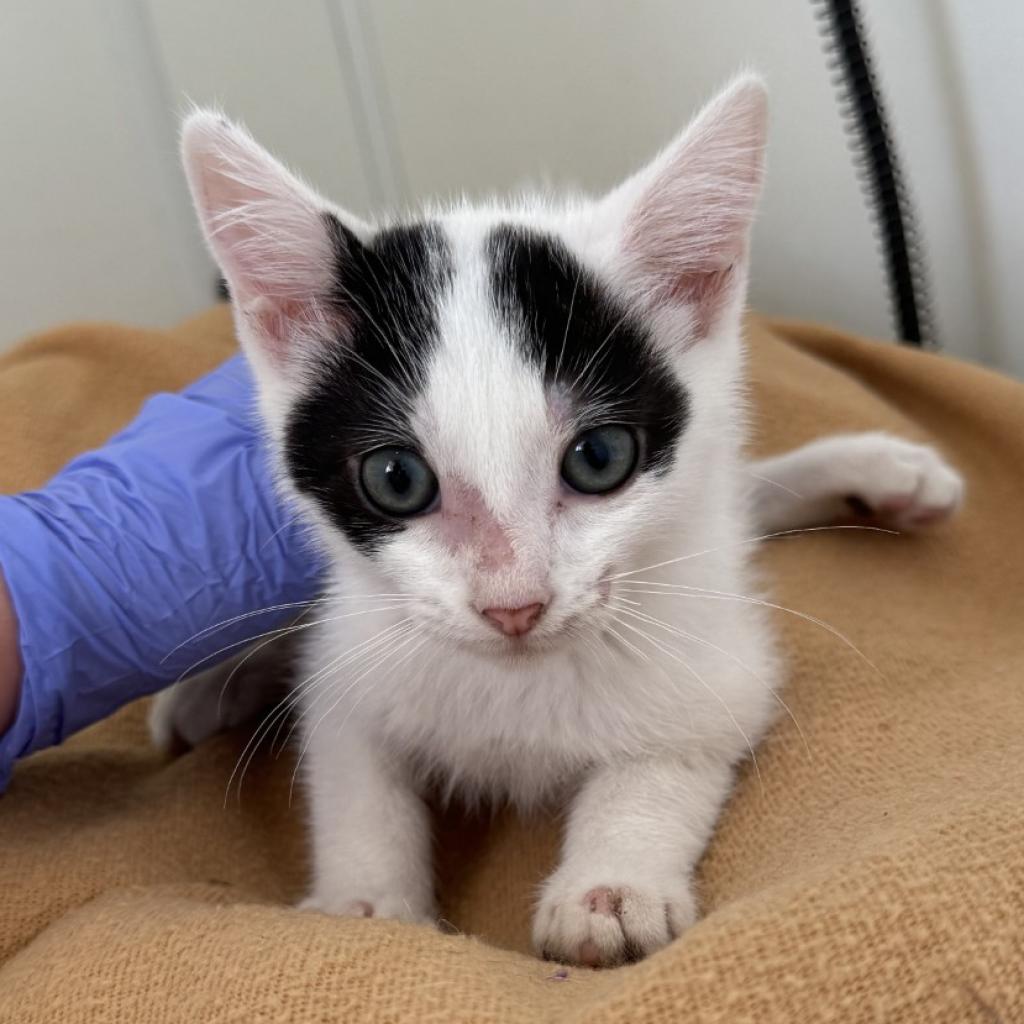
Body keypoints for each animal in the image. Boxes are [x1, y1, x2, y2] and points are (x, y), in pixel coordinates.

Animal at [151, 75, 958, 962]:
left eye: (599, 458)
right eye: (396, 478)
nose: (514, 605)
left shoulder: (717, 663)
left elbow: (669, 751)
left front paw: (611, 889)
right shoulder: (354, 651)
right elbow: (355, 769)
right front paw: (366, 903)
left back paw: (882, 475)